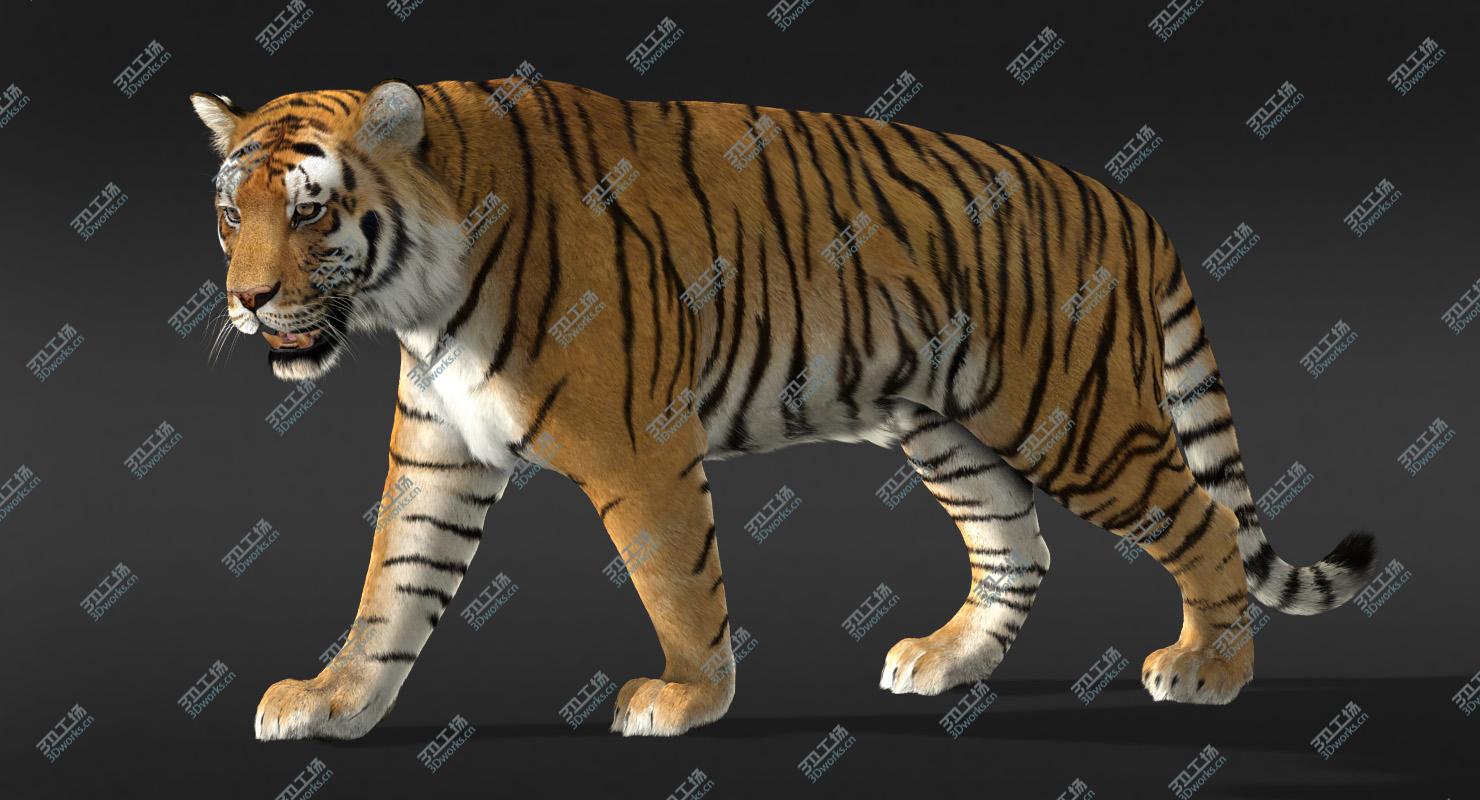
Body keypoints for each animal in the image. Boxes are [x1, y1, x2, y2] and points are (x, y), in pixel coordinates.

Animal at [189, 77, 1377, 740]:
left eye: (311, 209)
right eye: (229, 212)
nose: (245, 301)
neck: (418, 296)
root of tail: (1126, 202)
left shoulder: (640, 446)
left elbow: (678, 582)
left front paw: (685, 699)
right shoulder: (439, 453)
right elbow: (393, 586)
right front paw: (336, 699)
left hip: (1072, 414)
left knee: (1202, 519)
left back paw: (1209, 671)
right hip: (946, 427)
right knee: (1017, 546)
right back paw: (945, 660)